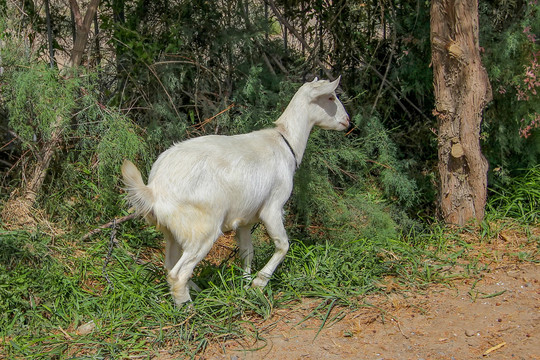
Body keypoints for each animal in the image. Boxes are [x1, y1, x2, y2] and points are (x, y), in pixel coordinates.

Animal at [121, 77, 350, 306]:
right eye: (331, 97)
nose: (347, 121)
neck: (285, 143)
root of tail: (154, 189)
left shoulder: (246, 218)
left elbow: (247, 252)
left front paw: (245, 284)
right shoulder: (273, 206)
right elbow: (283, 245)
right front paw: (259, 283)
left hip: (172, 231)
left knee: (170, 264)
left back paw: (197, 291)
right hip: (202, 229)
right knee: (178, 273)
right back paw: (189, 308)